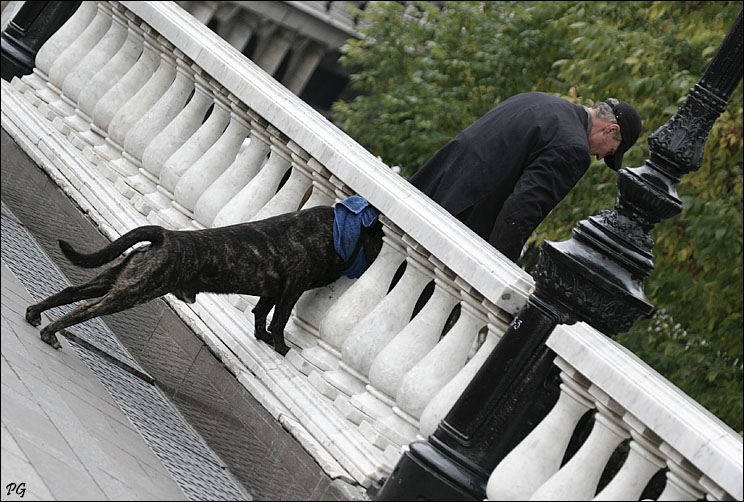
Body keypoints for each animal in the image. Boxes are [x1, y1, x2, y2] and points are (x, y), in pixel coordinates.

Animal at [23, 206, 384, 354]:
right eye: (378, 237)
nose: (381, 245)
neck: (331, 230)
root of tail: (165, 236)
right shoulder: (291, 289)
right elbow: (279, 320)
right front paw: (280, 346)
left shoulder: (272, 290)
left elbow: (260, 314)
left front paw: (262, 337)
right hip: (132, 292)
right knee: (85, 309)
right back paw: (51, 332)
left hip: (118, 278)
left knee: (71, 291)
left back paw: (34, 313)